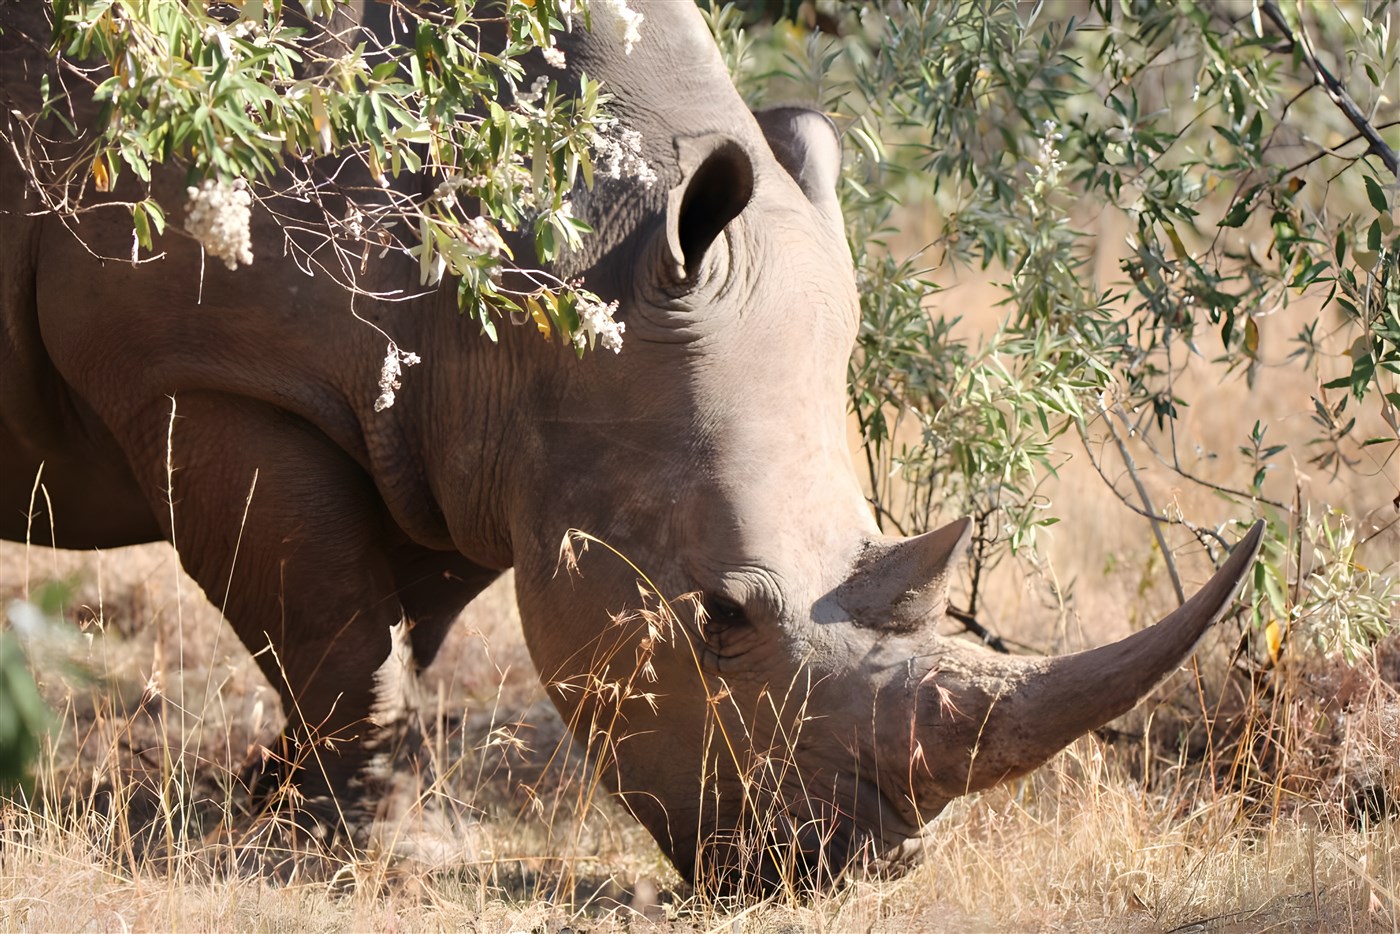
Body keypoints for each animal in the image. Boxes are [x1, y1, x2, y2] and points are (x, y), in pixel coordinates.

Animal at [0, 1, 1261, 892]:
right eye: (720, 617)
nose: (848, 870)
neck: (552, 249)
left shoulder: (475, 433)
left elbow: (395, 621)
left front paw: (277, 799)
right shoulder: (207, 370)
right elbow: (327, 612)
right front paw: (384, 851)